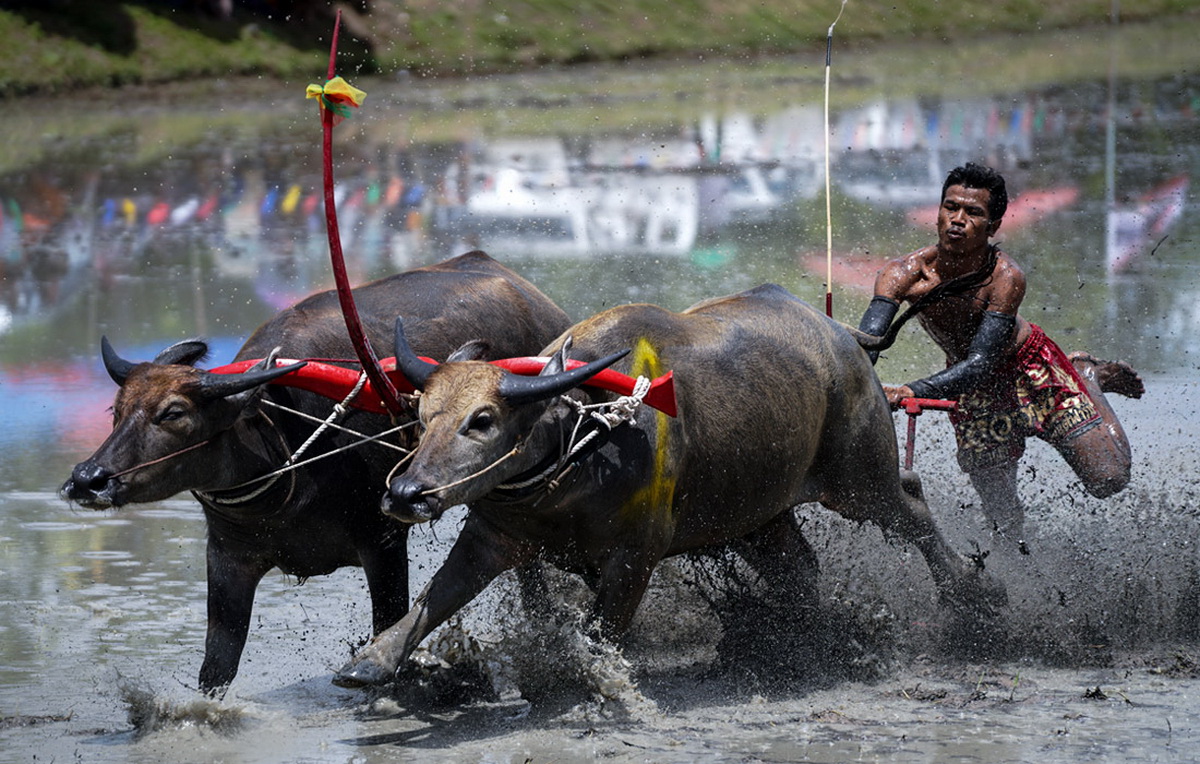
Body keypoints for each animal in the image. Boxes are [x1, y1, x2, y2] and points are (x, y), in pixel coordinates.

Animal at [58, 250, 573, 690]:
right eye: (117, 410)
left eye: (173, 413)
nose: (88, 479)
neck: (285, 453)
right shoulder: (227, 557)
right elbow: (218, 666)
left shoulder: (383, 541)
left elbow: (388, 626)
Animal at [333, 283, 998, 686]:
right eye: (422, 416)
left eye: (482, 420)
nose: (406, 493)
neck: (584, 440)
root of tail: (844, 339)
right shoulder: (493, 536)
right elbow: (435, 597)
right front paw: (371, 661)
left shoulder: (635, 559)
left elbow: (600, 635)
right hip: (760, 514)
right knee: (800, 566)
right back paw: (801, 635)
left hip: (858, 481)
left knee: (910, 503)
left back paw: (973, 595)